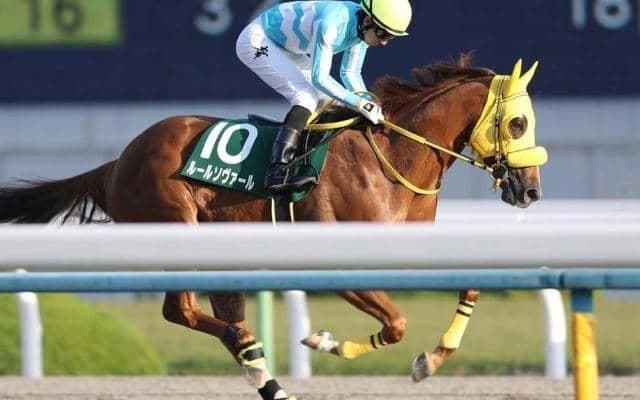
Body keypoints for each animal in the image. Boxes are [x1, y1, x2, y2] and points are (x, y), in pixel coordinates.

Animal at [0, 54, 546, 400]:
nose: (531, 191)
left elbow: (469, 287)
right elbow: (395, 324)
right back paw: (250, 348)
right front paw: (325, 342)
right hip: (175, 226)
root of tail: (118, 162)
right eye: (517, 123)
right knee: (182, 311)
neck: (393, 156)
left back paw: (265, 374)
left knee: (212, 312)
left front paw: (432, 358)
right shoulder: (341, 261)